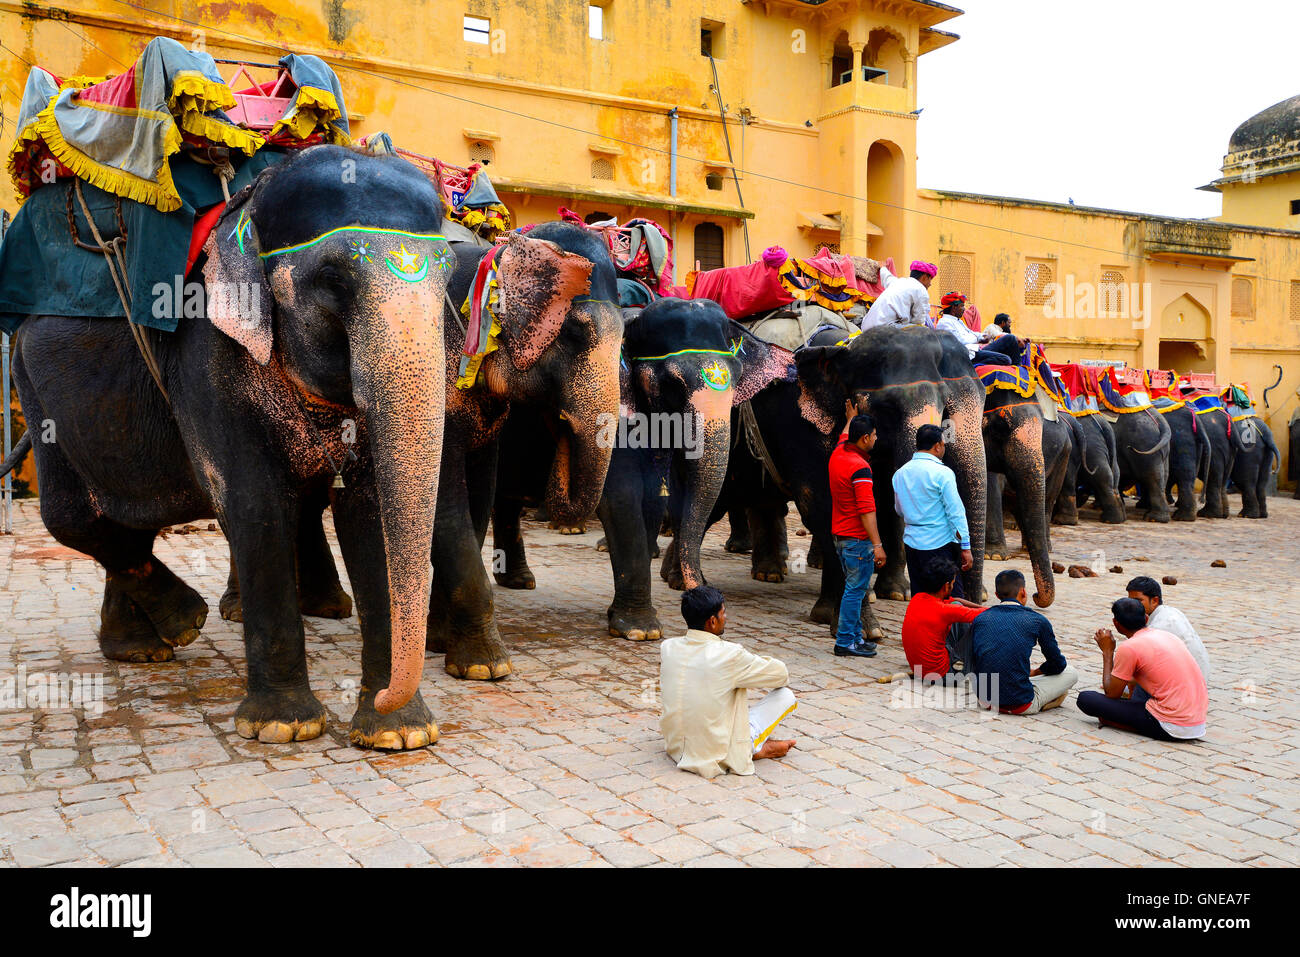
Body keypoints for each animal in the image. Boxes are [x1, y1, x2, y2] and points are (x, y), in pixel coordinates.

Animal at [6, 147, 452, 748]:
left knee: (125, 519)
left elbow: (371, 510)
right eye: (332, 280)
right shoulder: (204, 357)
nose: (385, 694)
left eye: (449, 275)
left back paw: (143, 649)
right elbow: (254, 502)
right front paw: (284, 728)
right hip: (33, 386)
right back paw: (182, 624)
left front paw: (397, 735)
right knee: (72, 517)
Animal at [491, 297, 785, 642]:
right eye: (673, 383)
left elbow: (653, 498)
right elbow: (621, 493)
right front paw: (641, 631)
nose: (700, 592)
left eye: (738, 378)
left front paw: (623, 619)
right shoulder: (611, 410)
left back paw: (519, 581)